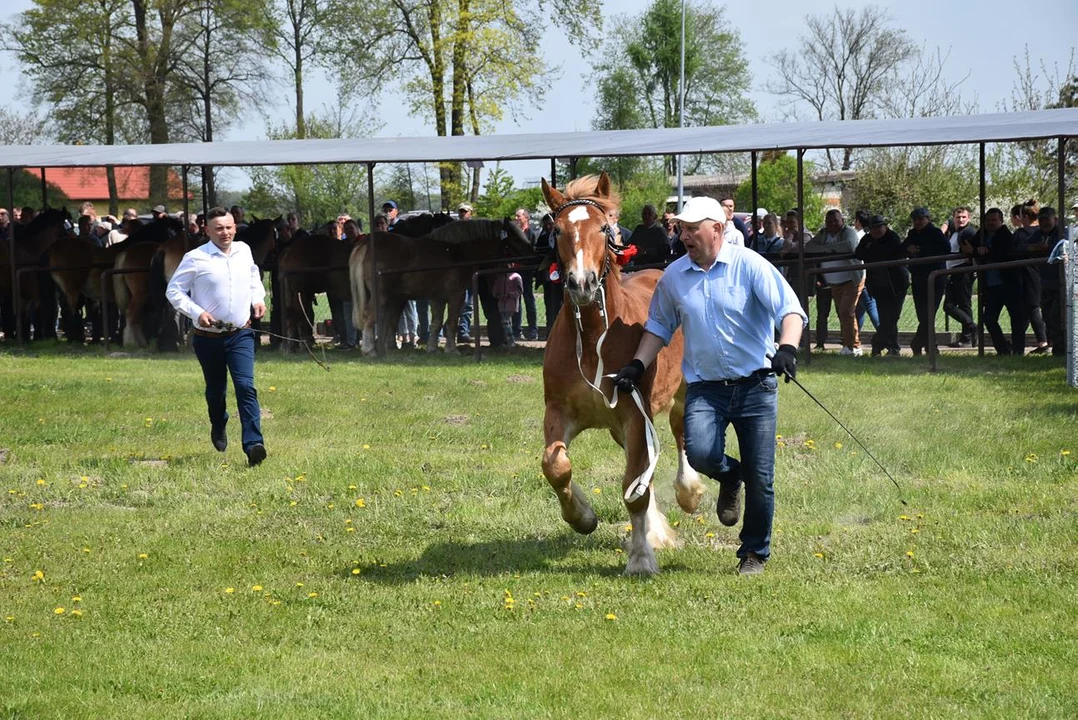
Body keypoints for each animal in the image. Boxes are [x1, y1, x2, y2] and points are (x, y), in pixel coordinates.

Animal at [539, 171, 707, 577]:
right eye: (558, 230)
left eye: (603, 228)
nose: (581, 284)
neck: (593, 339)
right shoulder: (559, 413)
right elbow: (556, 465)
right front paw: (582, 517)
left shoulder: (634, 415)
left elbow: (634, 488)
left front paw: (641, 558)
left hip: (679, 396)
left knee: (679, 435)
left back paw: (688, 493)